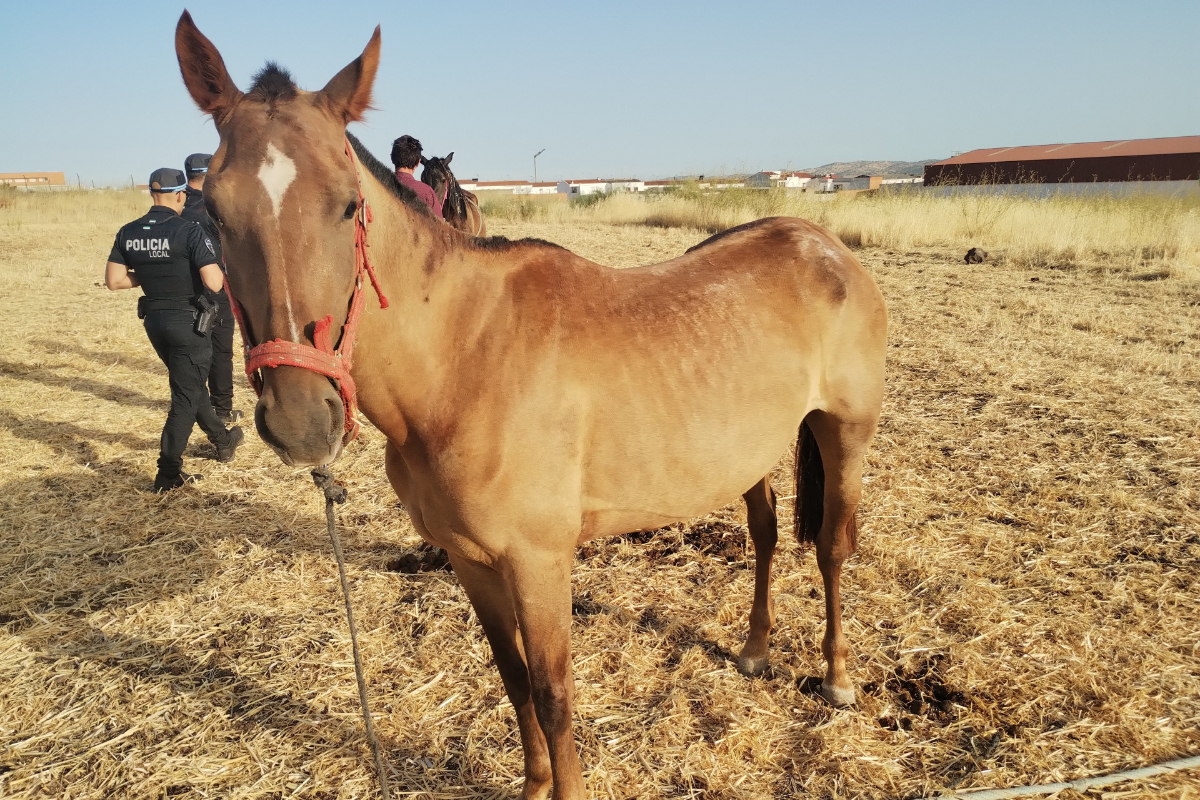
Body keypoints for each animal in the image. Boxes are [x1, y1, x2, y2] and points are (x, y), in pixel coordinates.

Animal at [175, 13, 887, 799]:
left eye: (348, 205)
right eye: (213, 209)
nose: (302, 419)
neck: (464, 359)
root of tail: (823, 244)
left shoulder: (539, 561)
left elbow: (552, 693)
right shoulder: (471, 559)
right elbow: (512, 677)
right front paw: (535, 784)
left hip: (845, 431)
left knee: (832, 546)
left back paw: (837, 677)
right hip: (749, 451)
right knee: (763, 534)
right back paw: (756, 649)